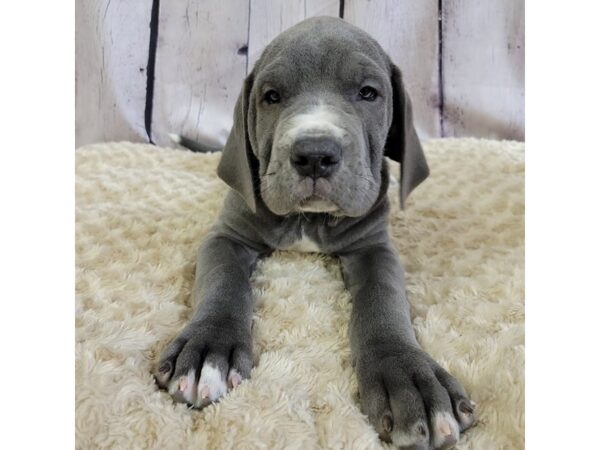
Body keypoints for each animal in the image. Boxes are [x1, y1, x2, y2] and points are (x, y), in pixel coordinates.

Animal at [155, 15, 474, 448]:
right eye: (271, 96)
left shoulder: (375, 248)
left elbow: (383, 300)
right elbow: (224, 281)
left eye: (368, 93)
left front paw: (409, 377)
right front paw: (208, 349)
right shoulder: (226, 236)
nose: (315, 155)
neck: (309, 218)